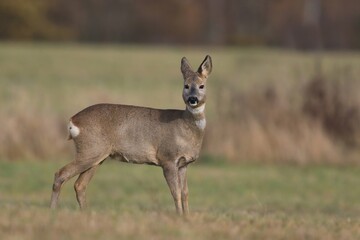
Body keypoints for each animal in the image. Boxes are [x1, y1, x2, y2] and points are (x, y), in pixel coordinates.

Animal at [51, 54, 214, 216]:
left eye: (202, 86)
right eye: (186, 85)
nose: (193, 99)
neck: (185, 127)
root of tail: (73, 120)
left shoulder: (183, 164)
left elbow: (185, 193)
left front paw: (187, 217)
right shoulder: (167, 158)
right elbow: (176, 193)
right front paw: (179, 216)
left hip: (97, 156)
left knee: (79, 184)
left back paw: (85, 212)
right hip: (90, 149)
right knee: (60, 174)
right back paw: (53, 211)